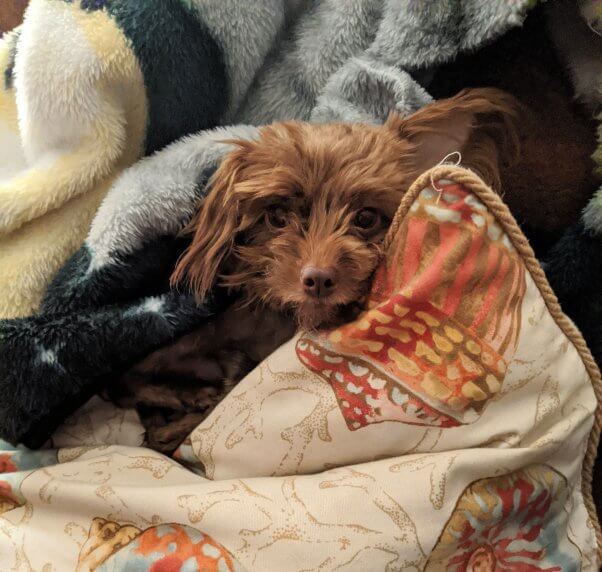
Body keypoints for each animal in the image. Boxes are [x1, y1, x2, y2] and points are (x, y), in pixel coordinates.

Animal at [111, 88, 516, 452]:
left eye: (366, 218)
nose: (318, 279)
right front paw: (181, 411)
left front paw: (183, 417)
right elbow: (138, 384)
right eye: (277, 215)